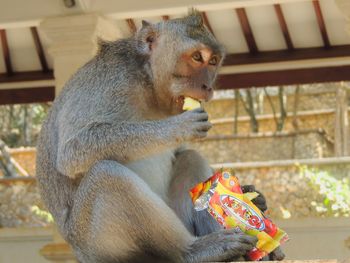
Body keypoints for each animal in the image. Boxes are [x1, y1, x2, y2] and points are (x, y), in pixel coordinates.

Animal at [36, 10, 284, 263]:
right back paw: (194, 250)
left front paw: (251, 195)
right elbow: (72, 152)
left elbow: (182, 152)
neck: (147, 84)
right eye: (197, 57)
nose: (208, 86)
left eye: (213, 61)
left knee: (190, 158)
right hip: (95, 244)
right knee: (107, 175)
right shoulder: (110, 81)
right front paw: (178, 128)